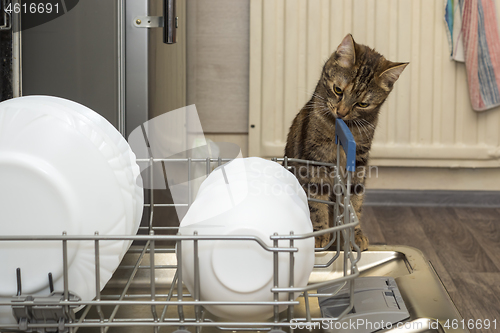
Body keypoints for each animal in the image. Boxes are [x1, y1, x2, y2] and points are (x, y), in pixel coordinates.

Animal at [286, 33, 406, 249]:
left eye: (363, 104)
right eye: (338, 90)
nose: (341, 112)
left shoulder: (359, 161)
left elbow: (354, 203)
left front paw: (355, 235)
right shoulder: (315, 161)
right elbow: (317, 202)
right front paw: (321, 234)